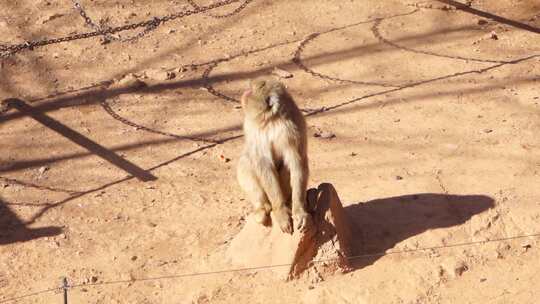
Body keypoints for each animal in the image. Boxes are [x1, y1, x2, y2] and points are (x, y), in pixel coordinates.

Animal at [236, 75, 312, 233]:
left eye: (251, 90)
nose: (244, 94)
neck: (272, 119)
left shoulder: (291, 130)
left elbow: (297, 162)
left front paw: (299, 210)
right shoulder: (252, 127)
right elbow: (263, 163)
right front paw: (280, 211)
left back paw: (288, 201)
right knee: (245, 164)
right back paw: (262, 207)